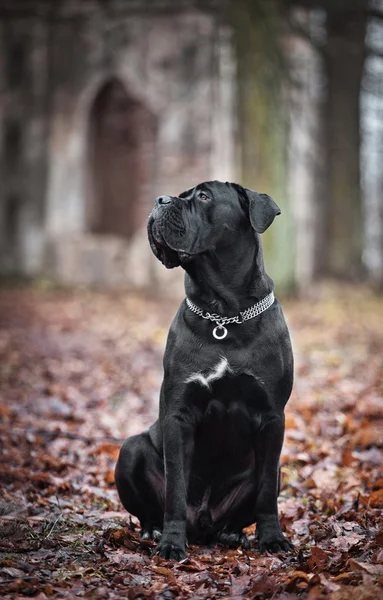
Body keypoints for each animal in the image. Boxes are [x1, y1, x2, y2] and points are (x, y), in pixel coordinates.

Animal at [114, 180, 294, 560]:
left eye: (203, 196)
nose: (160, 200)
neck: (223, 312)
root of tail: (205, 523)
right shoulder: (179, 414)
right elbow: (176, 488)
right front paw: (171, 542)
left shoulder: (273, 417)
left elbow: (266, 493)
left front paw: (272, 539)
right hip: (131, 449)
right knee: (150, 506)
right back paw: (154, 530)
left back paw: (233, 534)